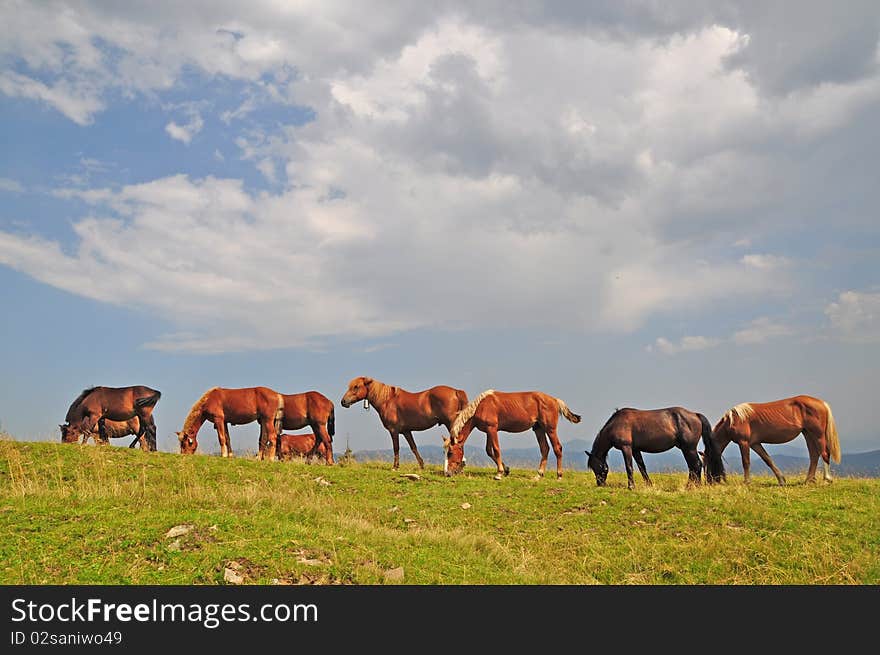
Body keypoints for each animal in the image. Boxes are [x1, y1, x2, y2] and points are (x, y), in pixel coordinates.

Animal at [340, 376, 470, 468]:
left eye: (356, 386)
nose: (343, 402)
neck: (387, 400)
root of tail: (455, 391)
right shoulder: (406, 431)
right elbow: (413, 447)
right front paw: (421, 465)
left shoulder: (394, 431)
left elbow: (396, 448)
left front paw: (395, 467)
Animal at [444, 390, 580, 482]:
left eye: (450, 453)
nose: (447, 473)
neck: (481, 406)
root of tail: (555, 400)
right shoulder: (489, 431)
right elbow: (489, 451)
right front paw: (506, 470)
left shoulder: (492, 429)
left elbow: (496, 449)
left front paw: (499, 473)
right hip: (538, 429)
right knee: (545, 449)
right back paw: (539, 474)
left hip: (550, 429)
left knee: (557, 448)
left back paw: (559, 475)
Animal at [584, 408, 716, 490]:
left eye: (596, 467)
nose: (600, 483)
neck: (616, 424)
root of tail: (695, 414)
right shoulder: (635, 450)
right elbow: (642, 467)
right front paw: (649, 485)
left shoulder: (626, 448)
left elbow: (629, 467)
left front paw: (631, 487)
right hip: (686, 449)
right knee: (693, 467)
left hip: (689, 448)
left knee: (696, 465)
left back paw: (691, 486)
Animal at [704, 394, 844, 486]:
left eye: (707, 462)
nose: (709, 481)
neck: (733, 420)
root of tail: (822, 403)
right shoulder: (755, 444)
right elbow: (768, 460)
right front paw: (781, 480)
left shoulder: (744, 443)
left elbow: (746, 462)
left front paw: (747, 482)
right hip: (808, 434)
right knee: (814, 455)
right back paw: (808, 480)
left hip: (818, 434)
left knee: (824, 453)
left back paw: (827, 479)